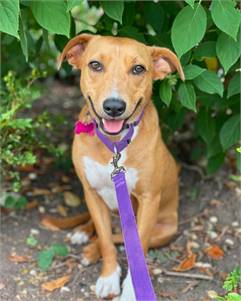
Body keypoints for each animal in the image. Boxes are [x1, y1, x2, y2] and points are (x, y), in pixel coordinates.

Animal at [58, 34, 185, 298]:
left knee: (121, 237)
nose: (114, 107)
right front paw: (108, 277)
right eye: (95, 65)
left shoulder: (149, 200)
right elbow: (106, 240)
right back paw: (83, 234)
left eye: (138, 69)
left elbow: (135, 246)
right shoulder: (92, 193)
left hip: (164, 230)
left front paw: (132, 289)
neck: (115, 145)